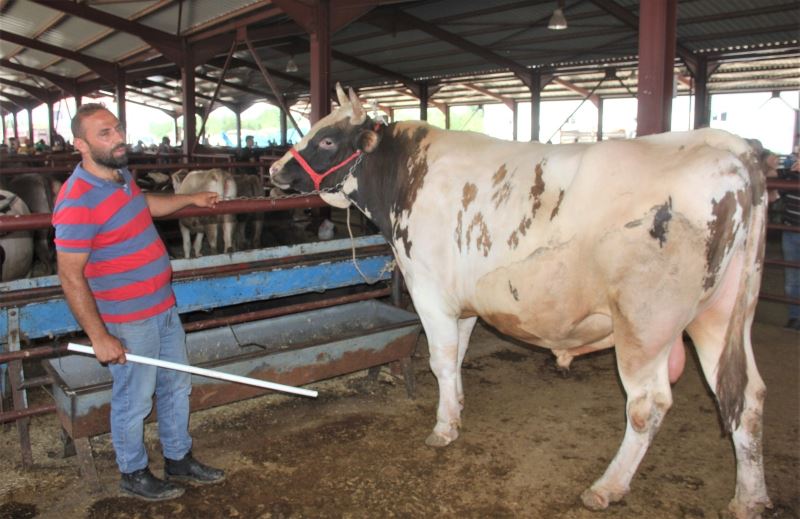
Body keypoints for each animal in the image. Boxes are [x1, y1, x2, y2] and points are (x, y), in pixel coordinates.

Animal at [270, 85, 776, 519]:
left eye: (328, 139)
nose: (276, 171)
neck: (405, 177)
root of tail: (733, 147)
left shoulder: (429, 292)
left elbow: (440, 359)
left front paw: (442, 428)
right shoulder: (465, 302)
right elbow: (457, 358)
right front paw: (456, 413)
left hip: (645, 324)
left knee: (647, 404)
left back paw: (607, 487)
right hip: (720, 314)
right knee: (747, 395)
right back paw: (749, 497)